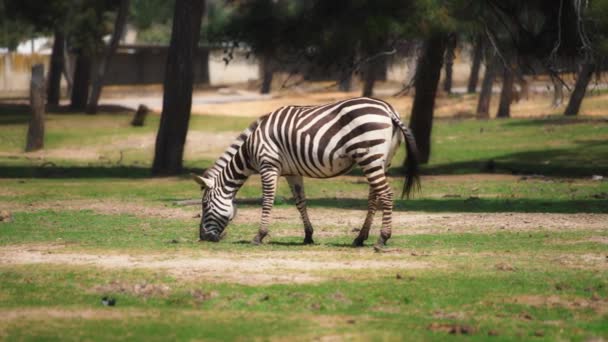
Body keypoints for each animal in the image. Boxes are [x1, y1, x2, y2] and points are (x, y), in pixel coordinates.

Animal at [192, 97, 420, 247]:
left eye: (204, 204)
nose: (203, 238)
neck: (250, 150)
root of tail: (388, 109)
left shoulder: (268, 165)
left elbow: (267, 200)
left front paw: (259, 235)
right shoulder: (292, 172)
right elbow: (300, 202)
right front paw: (308, 236)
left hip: (369, 155)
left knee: (386, 195)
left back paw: (382, 238)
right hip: (382, 160)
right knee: (375, 197)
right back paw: (359, 238)